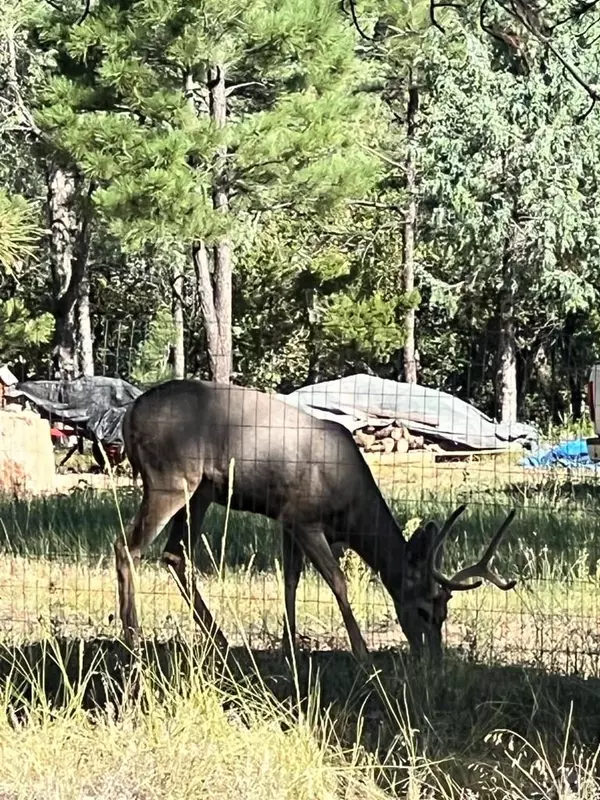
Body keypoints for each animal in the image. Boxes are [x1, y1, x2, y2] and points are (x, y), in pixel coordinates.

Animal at [115, 378, 516, 660]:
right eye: (424, 609)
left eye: (444, 613)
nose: (432, 659)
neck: (352, 510)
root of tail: (130, 415)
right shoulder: (304, 517)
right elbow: (337, 581)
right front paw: (361, 653)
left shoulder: (288, 519)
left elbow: (290, 580)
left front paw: (289, 646)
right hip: (168, 478)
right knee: (127, 545)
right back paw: (132, 637)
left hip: (201, 491)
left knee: (175, 554)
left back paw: (220, 641)